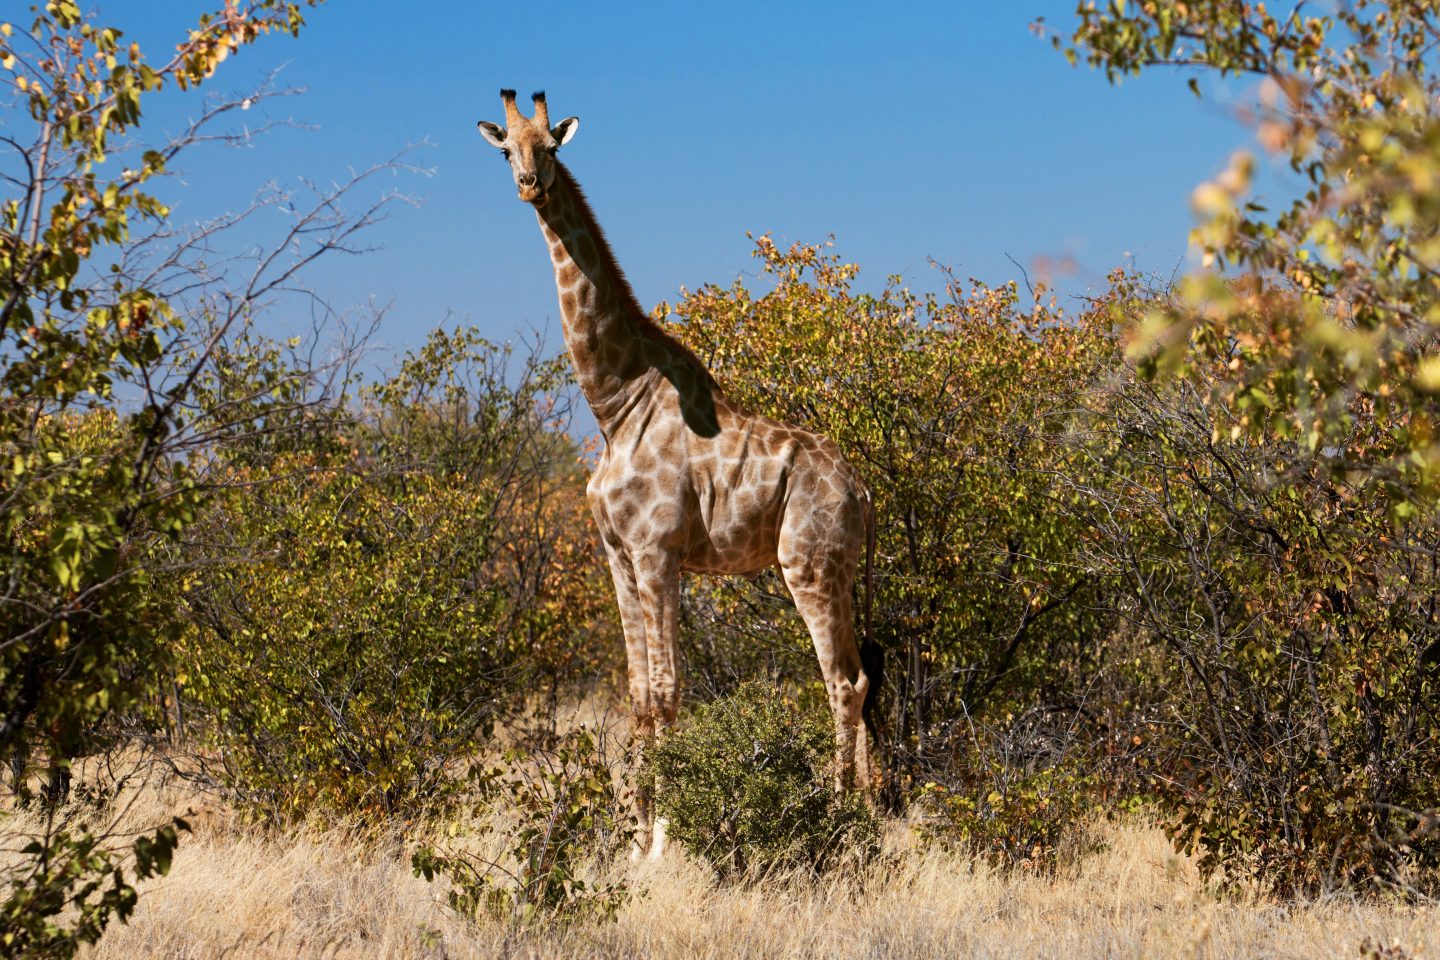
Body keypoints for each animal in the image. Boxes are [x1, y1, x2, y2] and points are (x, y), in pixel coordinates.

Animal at [478, 90, 879, 858]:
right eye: (506, 148)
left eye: (552, 146)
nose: (529, 185)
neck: (614, 402)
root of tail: (864, 489)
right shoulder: (616, 555)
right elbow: (637, 697)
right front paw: (635, 841)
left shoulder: (657, 551)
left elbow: (668, 692)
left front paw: (666, 840)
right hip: (838, 571)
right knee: (863, 674)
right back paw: (873, 807)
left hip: (808, 564)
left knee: (841, 680)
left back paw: (841, 816)